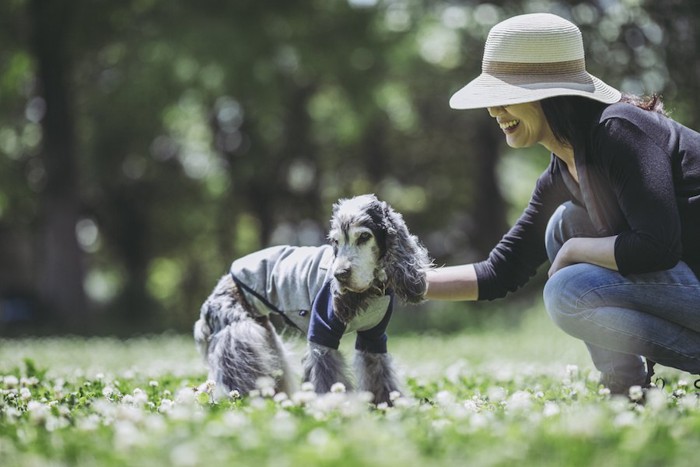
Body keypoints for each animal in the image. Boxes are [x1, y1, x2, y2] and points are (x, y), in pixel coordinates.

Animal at [193, 194, 432, 406]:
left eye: (364, 237)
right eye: (335, 241)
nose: (339, 274)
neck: (371, 290)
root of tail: (215, 292)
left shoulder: (373, 338)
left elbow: (380, 375)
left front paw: (389, 406)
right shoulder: (322, 334)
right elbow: (327, 378)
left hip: (267, 340)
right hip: (241, 339)